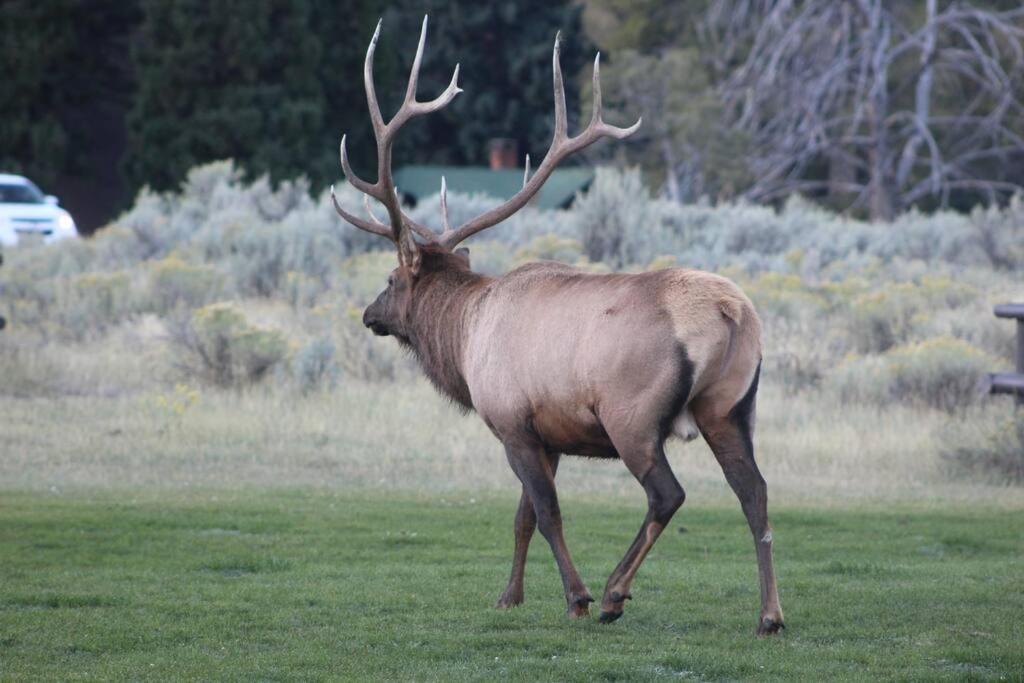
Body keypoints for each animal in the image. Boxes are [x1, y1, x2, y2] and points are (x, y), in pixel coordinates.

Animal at [329, 17, 782, 634]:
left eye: (392, 278)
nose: (369, 314)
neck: (465, 341)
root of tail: (732, 313)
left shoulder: (510, 421)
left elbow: (546, 513)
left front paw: (576, 597)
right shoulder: (549, 433)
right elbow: (522, 516)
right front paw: (509, 596)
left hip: (632, 415)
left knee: (667, 494)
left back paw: (614, 593)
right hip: (732, 406)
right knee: (754, 491)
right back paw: (770, 616)